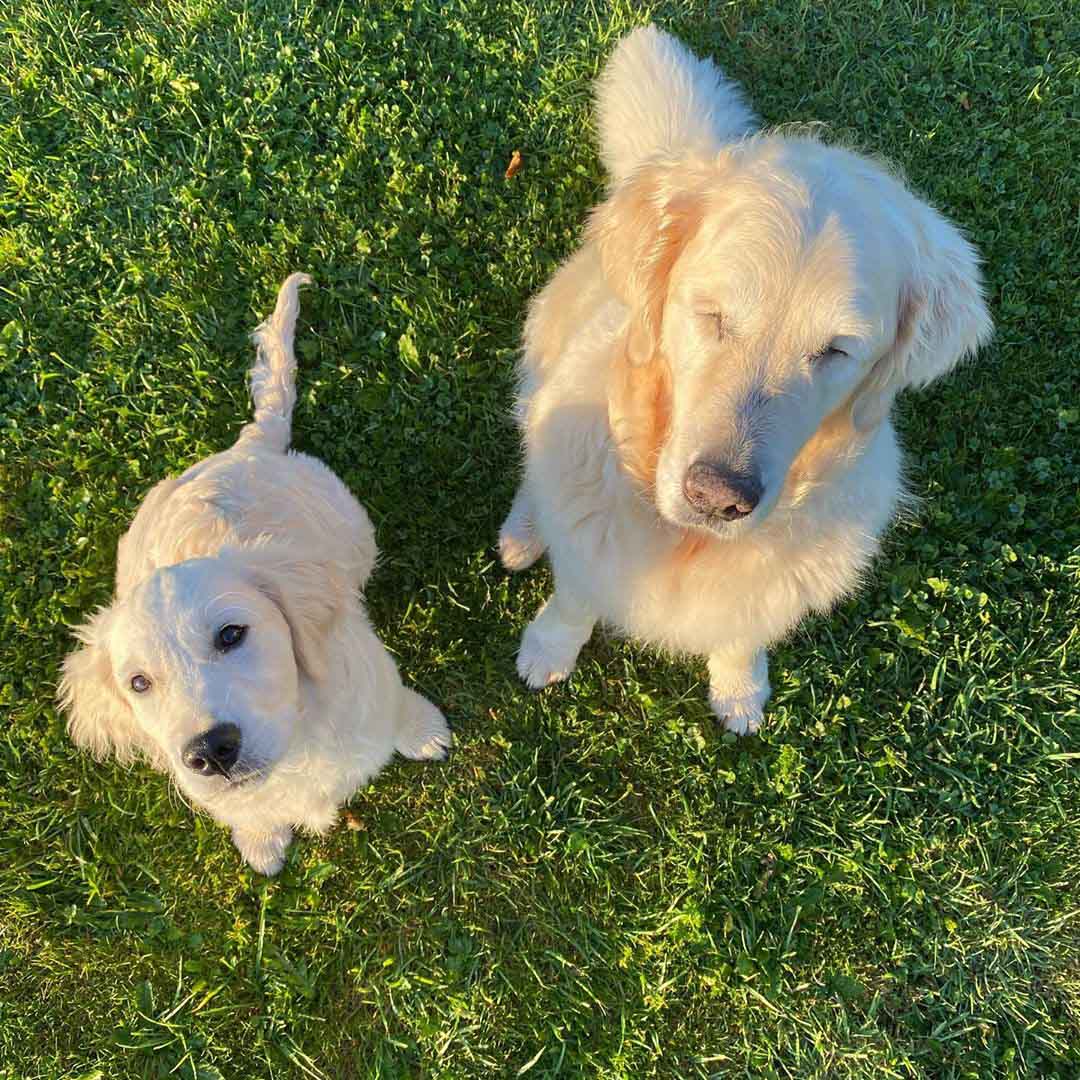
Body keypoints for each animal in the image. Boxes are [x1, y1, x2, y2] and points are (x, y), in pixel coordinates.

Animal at [61, 274, 449, 872]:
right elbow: (252, 813)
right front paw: (261, 839)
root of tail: (250, 445)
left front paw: (423, 730)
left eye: (231, 634)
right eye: (139, 683)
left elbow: (394, 707)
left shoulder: (369, 680)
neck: (299, 734)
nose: (208, 752)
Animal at [501, 27, 989, 734]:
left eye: (836, 350)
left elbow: (740, 633)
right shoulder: (589, 547)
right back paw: (523, 532)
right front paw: (547, 648)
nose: (718, 497)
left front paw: (739, 690)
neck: (688, 542)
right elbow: (574, 597)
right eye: (712, 314)